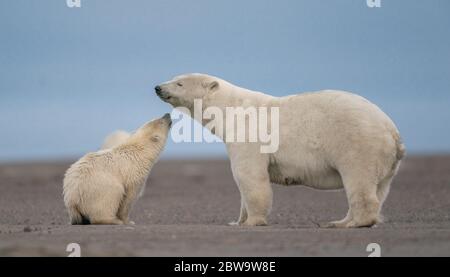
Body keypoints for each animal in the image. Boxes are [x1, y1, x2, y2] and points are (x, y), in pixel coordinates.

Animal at [155, 73, 404, 226]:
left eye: (179, 83)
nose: (157, 87)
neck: (231, 108)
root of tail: (392, 131)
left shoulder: (249, 135)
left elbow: (249, 176)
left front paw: (253, 221)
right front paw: (237, 221)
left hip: (358, 143)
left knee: (358, 179)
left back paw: (351, 223)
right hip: (385, 161)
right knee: (380, 188)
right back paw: (341, 221)